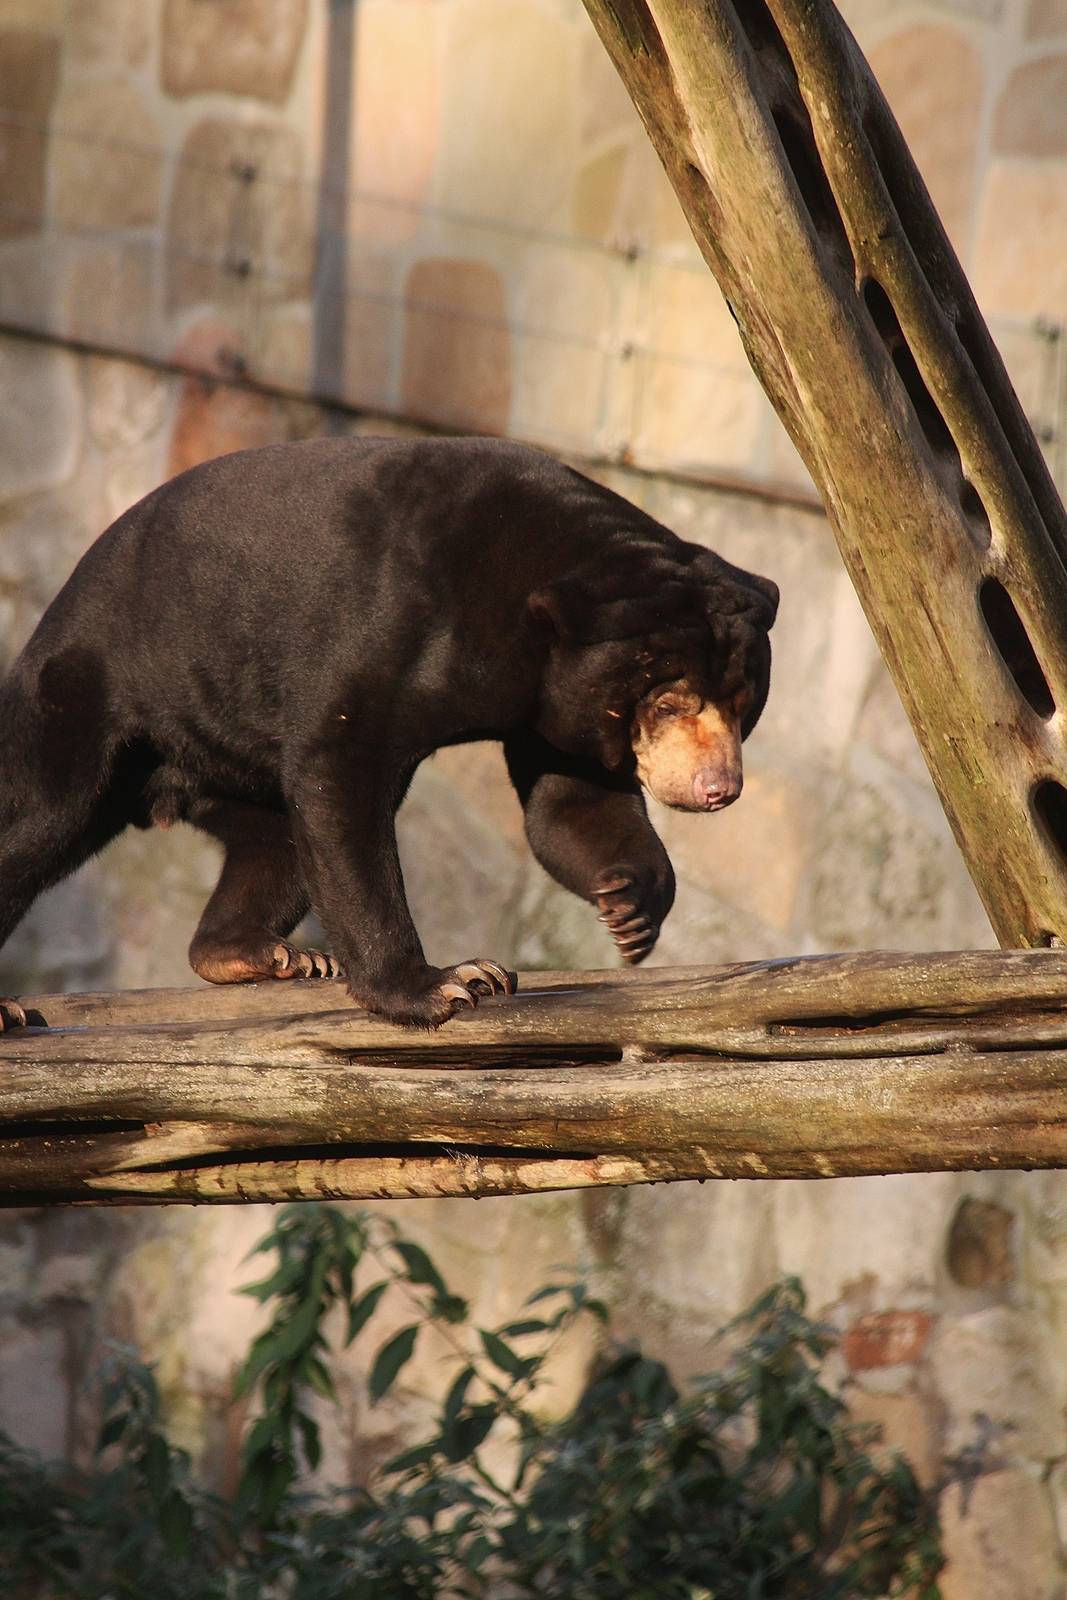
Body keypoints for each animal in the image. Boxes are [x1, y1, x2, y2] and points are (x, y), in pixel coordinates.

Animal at [0, 435, 778, 1029]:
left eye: (742, 703)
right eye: (669, 702)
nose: (719, 790)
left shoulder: (555, 703)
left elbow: (571, 805)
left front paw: (630, 907)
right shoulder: (392, 626)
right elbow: (342, 776)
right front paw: (447, 983)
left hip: (228, 750)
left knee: (277, 842)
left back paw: (264, 953)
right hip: (96, 687)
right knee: (37, 816)